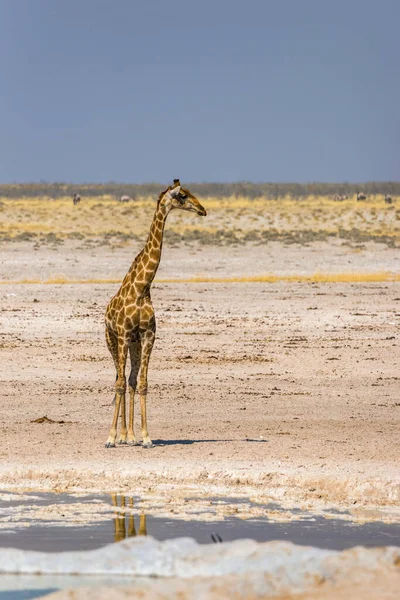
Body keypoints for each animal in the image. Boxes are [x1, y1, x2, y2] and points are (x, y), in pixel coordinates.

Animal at [103, 180, 206, 448]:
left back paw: (129, 436)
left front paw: (146, 437)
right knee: (118, 379)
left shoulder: (148, 336)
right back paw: (118, 436)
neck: (142, 287)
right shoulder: (123, 335)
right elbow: (119, 384)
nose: (202, 210)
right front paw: (110, 437)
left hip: (134, 344)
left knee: (129, 379)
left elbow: (142, 383)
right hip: (112, 341)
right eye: (182, 195)